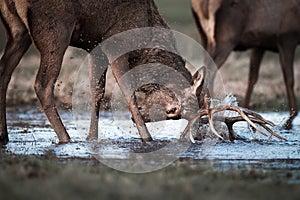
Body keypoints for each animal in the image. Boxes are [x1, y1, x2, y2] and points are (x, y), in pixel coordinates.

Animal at [0, 0, 282, 145]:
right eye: (175, 112)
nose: (197, 136)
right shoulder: (115, 42)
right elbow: (126, 92)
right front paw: (147, 138)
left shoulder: (95, 44)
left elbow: (96, 92)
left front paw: (93, 138)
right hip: (55, 26)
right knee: (42, 83)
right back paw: (65, 138)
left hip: (17, 30)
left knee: (4, 72)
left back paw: (4, 135)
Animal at [192, 0, 300, 130]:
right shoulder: (287, 37)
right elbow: (289, 78)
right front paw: (290, 120)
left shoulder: (260, 44)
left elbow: (252, 78)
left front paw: (247, 114)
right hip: (225, 37)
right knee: (209, 70)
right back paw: (209, 109)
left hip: (204, 36)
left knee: (204, 69)